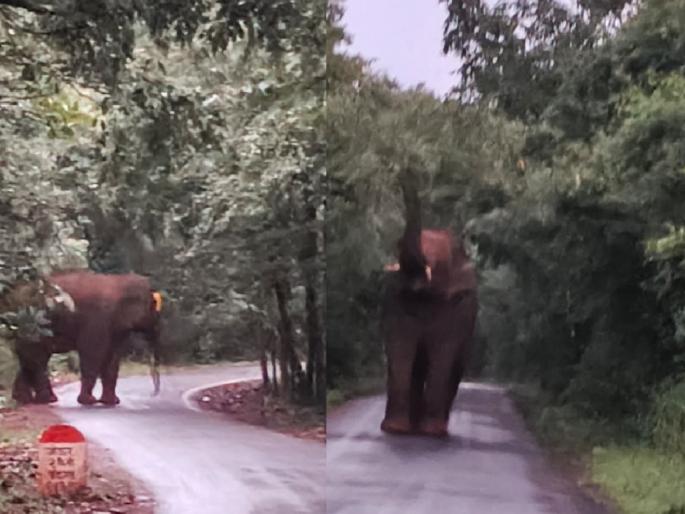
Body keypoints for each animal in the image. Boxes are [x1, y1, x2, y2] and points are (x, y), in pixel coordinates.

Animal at [3, 270, 162, 406]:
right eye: (154, 306)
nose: (154, 393)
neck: (119, 280)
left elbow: (112, 358)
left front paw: (111, 402)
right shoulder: (98, 318)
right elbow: (93, 354)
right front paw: (89, 401)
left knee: (30, 359)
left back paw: (23, 399)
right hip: (32, 324)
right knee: (37, 359)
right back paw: (47, 400)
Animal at [380, 172, 478, 437]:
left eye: (438, 261)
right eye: (397, 246)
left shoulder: (457, 308)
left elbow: (443, 354)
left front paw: (430, 432)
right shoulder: (396, 300)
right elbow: (399, 350)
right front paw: (394, 429)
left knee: (453, 368)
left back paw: (436, 429)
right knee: (417, 367)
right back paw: (411, 426)